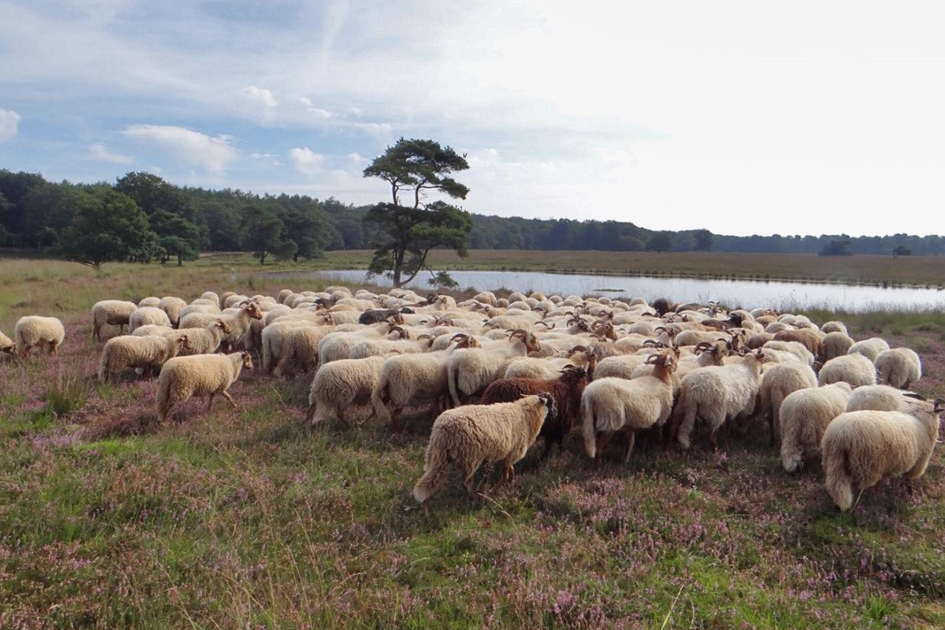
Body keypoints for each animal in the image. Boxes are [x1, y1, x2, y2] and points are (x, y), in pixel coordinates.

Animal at [412, 392, 552, 506]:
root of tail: (442, 431)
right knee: (465, 482)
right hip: (471, 457)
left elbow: (510, 470)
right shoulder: (513, 452)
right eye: (549, 401)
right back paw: (473, 498)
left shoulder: (510, 455)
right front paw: (495, 490)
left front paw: (511, 482)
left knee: (431, 478)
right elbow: (505, 474)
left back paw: (427, 505)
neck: (525, 414)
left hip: (434, 455)